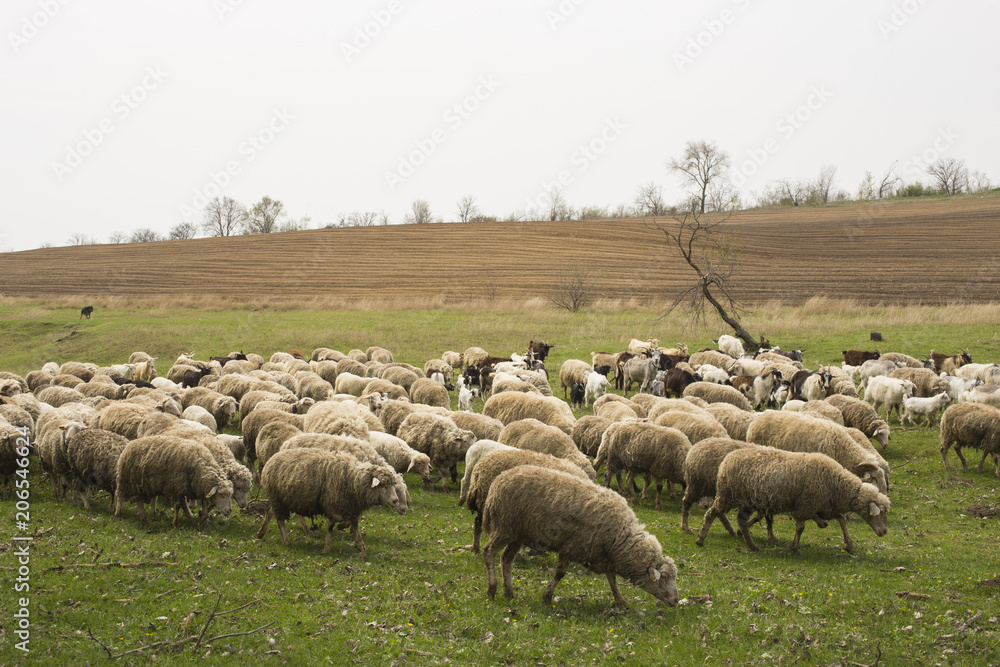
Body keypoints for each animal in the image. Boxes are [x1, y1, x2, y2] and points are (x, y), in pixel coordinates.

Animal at [256, 448, 401, 553]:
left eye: (393, 484)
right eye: (383, 484)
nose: (395, 501)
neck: (353, 480)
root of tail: (272, 458)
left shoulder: (350, 506)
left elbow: (354, 523)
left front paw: (360, 545)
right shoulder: (333, 504)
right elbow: (331, 526)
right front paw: (326, 547)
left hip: (280, 499)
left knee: (270, 512)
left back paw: (261, 533)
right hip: (277, 499)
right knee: (280, 520)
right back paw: (286, 541)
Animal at [481, 465, 679, 608]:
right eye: (665, 578)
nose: (676, 601)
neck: (620, 537)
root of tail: (499, 479)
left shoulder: (605, 556)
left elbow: (612, 580)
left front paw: (621, 601)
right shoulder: (571, 547)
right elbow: (560, 574)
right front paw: (547, 597)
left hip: (517, 534)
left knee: (506, 559)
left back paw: (509, 592)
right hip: (505, 527)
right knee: (488, 551)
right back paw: (492, 589)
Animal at [695, 447, 890, 555]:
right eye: (878, 513)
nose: (884, 532)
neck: (837, 484)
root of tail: (728, 458)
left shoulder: (823, 506)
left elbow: (841, 520)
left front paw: (849, 545)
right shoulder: (806, 506)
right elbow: (800, 527)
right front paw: (794, 548)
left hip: (747, 500)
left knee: (741, 520)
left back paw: (751, 545)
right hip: (727, 494)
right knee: (711, 513)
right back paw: (701, 539)